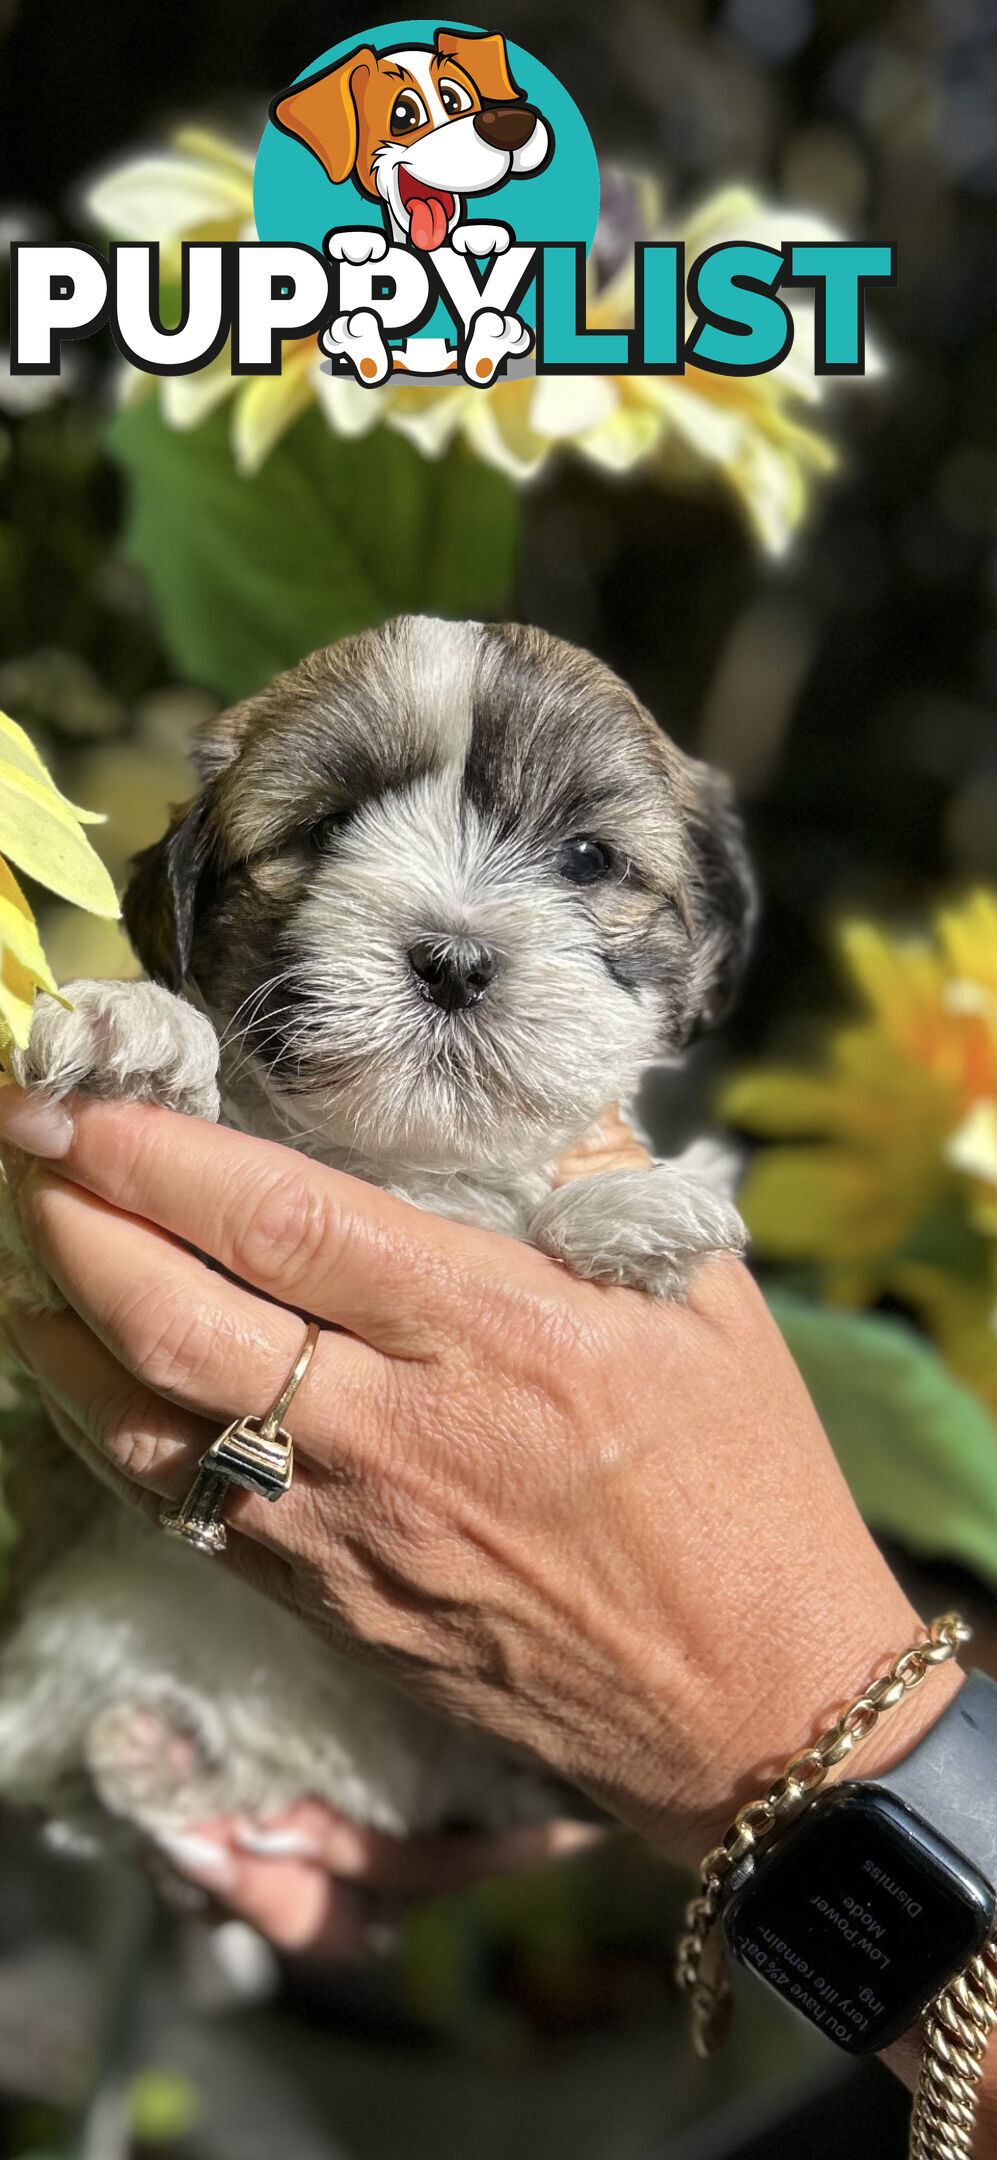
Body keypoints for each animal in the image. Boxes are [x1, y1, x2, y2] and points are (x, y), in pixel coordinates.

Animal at [0, 613, 755, 1857]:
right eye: (322, 832)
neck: (400, 1167)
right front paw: (141, 1036)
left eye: (586, 858)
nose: (453, 957)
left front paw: (627, 1211)